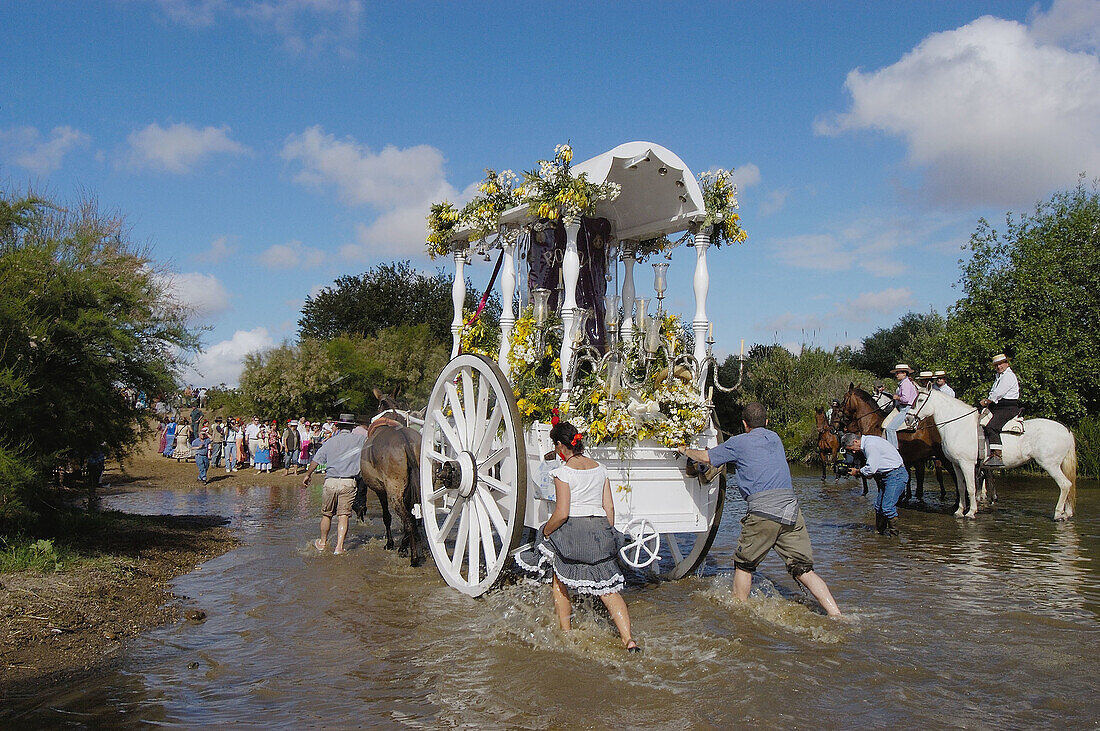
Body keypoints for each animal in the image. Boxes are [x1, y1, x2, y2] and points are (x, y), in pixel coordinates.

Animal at [906, 386, 1078, 518]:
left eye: (920, 400)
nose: (908, 419)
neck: (959, 426)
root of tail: (1066, 429)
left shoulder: (967, 464)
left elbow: (971, 487)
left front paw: (971, 512)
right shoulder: (956, 464)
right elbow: (961, 487)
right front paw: (959, 511)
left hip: (1050, 464)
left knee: (1065, 485)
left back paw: (1057, 513)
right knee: (1069, 485)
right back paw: (1067, 513)